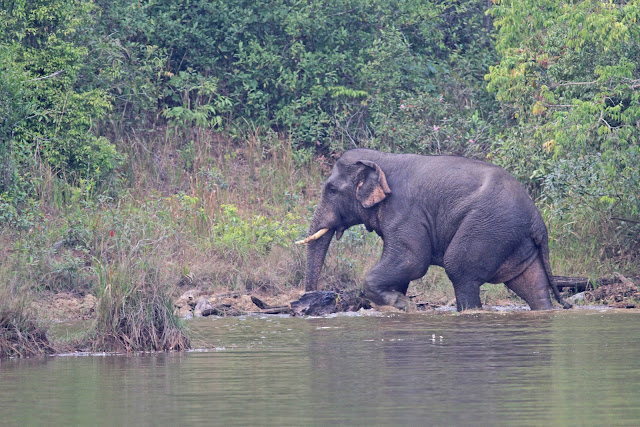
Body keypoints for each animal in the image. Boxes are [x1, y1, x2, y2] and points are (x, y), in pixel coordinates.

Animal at [297, 148, 571, 312]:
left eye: (331, 190)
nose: (308, 300)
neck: (383, 158)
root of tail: (537, 219)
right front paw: (399, 303)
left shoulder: (406, 213)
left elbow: (412, 261)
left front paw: (400, 304)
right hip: (514, 238)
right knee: (531, 284)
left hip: (488, 228)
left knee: (460, 271)